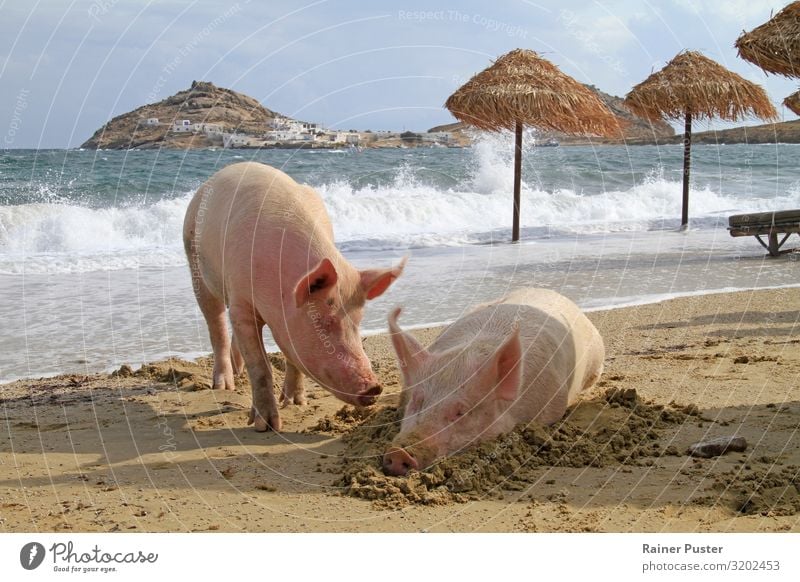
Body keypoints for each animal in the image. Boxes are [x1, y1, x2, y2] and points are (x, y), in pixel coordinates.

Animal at [183, 162, 406, 432]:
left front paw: (296, 403)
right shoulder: (241, 301)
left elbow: (292, 359)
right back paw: (224, 385)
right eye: (322, 321)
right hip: (195, 261)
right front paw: (266, 426)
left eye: (358, 320)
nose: (374, 387)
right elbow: (260, 366)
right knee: (216, 325)